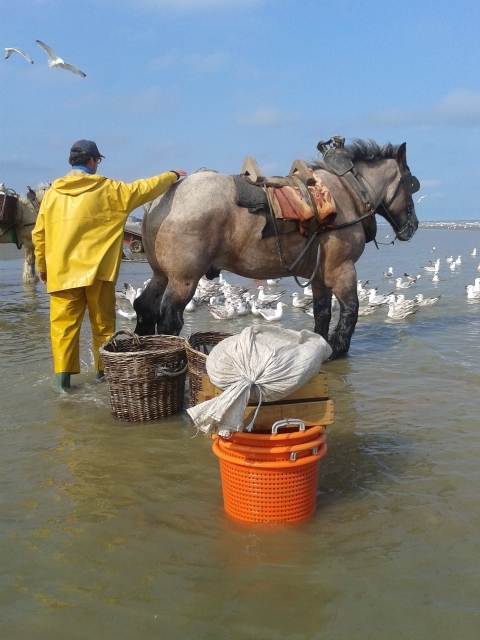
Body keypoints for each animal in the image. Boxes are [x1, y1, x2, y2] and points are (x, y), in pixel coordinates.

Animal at [135, 141, 420, 360]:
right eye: (411, 185)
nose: (414, 226)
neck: (348, 192)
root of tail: (159, 200)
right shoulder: (342, 270)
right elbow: (350, 311)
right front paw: (337, 349)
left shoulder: (320, 276)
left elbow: (322, 313)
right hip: (183, 279)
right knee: (170, 318)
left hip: (161, 275)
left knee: (144, 306)